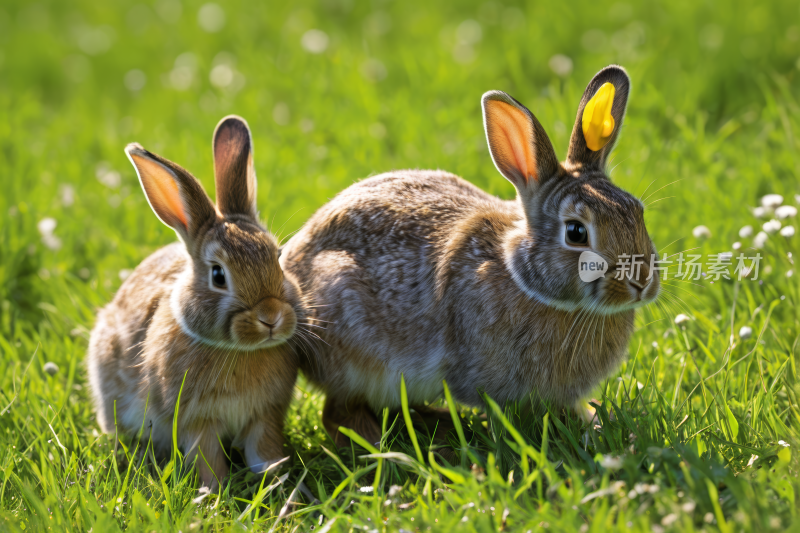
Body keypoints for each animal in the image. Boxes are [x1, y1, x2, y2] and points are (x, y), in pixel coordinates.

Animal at [87, 114, 306, 488]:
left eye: (277, 257)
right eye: (218, 275)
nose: (270, 317)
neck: (240, 352)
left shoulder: (264, 415)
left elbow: (264, 454)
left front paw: (282, 487)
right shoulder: (195, 421)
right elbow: (207, 460)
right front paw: (215, 493)